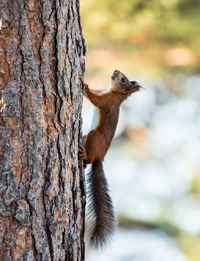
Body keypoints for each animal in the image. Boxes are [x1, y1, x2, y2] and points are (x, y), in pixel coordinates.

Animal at [79, 68, 141, 246]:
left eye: (123, 80)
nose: (115, 70)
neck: (113, 92)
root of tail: (100, 157)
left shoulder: (106, 101)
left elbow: (96, 100)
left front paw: (85, 87)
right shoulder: (103, 92)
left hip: (95, 137)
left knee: (90, 157)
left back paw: (85, 155)